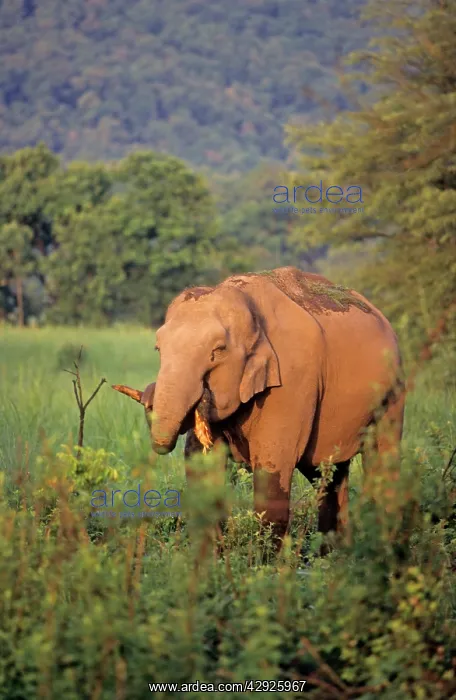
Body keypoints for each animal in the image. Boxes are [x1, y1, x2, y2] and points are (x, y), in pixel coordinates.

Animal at [114, 267, 405, 551]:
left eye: (218, 351)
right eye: (158, 349)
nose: (150, 393)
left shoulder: (291, 381)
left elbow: (272, 473)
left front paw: (264, 564)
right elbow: (203, 469)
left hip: (392, 392)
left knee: (382, 462)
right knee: (328, 475)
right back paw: (336, 556)